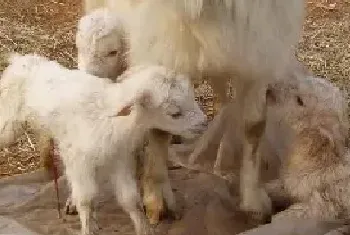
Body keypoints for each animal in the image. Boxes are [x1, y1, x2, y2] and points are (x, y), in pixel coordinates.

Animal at [0, 53, 208, 235]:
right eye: (174, 113)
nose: (204, 124)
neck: (109, 117)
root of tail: (22, 59)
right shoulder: (79, 160)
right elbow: (86, 198)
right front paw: (87, 228)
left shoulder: (120, 159)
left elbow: (130, 199)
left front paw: (144, 229)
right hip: (8, 121)